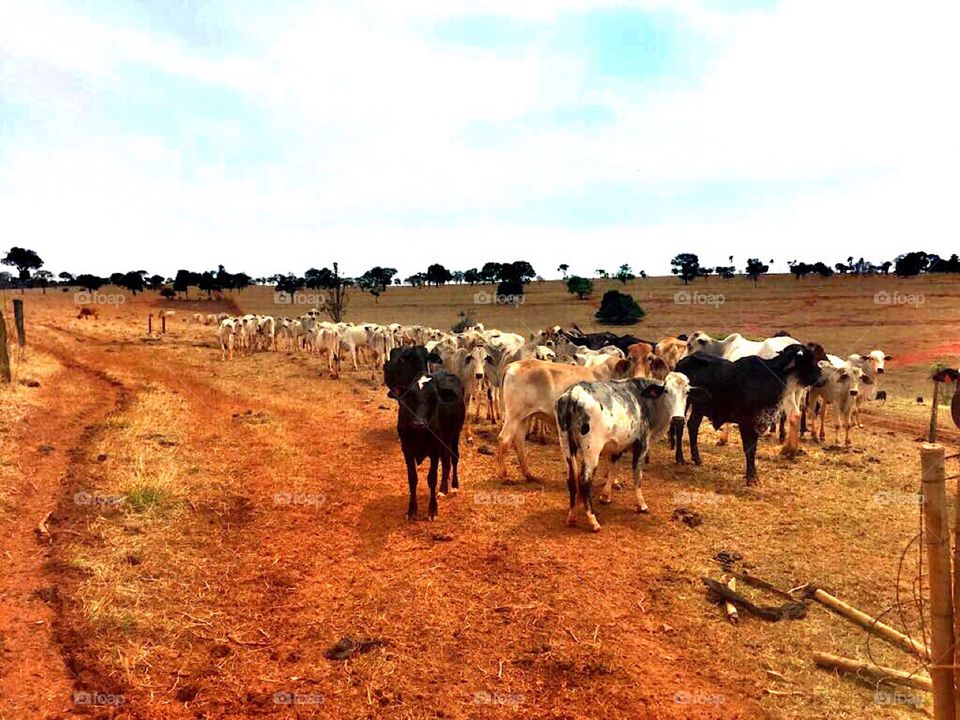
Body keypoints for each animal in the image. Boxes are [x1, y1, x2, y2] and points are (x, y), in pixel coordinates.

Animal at [385, 346, 466, 520]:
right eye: (409, 395)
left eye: (434, 397)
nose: (419, 423)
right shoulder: (407, 450)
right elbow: (412, 478)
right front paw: (412, 510)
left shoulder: (434, 451)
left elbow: (431, 478)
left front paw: (432, 510)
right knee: (446, 461)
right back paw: (443, 489)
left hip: (455, 434)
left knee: (454, 457)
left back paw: (453, 486)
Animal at [496, 356, 632, 481]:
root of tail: (513, 365)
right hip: (514, 415)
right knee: (504, 438)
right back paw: (504, 475)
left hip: (523, 418)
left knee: (519, 443)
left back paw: (529, 475)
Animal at [555, 372, 700, 532]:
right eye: (666, 391)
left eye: (687, 392)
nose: (678, 419)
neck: (645, 401)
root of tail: (574, 393)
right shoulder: (642, 444)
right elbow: (637, 476)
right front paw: (641, 505)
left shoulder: (617, 447)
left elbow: (614, 470)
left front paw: (606, 496)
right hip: (591, 450)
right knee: (584, 481)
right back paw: (593, 521)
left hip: (566, 445)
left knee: (572, 479)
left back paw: (572, 516)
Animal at [675, 344, 821, 484]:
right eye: (808, 359)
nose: (820, 375)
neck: (773, 376)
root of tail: (683, 361)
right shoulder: (746, 422)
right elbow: (748, 448)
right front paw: (751, 478)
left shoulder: (757, 422)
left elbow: (753, 449)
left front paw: (753, 476)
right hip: (684, 404)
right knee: (680, 426)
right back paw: (680, 458)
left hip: (698, 407)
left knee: (693, 426)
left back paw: (697, 458)